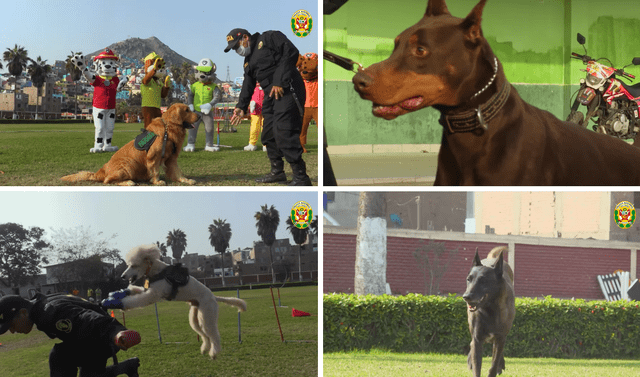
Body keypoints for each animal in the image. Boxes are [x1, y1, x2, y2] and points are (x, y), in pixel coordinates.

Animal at [62, 102, 199, 186]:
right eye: (187, 110)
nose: (199, 116)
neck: (169, 129)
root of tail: (100, 171)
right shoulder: (153, 156)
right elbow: (155, 170)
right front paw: (157, 181)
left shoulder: (172, 158)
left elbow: (177, 171)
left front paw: (185, 180)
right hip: (129, 163)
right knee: (107, 180)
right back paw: (128, 182)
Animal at [104, 244, 246, 358]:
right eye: (128, 265)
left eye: (134, 265)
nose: (123, 276)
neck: (157, 271)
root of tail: (213, 297)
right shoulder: (150, 291)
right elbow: (134, 290)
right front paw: (118, 294)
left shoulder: (153, 295)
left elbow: (135, 301)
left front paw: (119, 303)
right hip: (195, 318)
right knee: (205, 336)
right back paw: (205, 349)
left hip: (207, 316)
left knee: (214, 335)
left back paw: (214, 353)